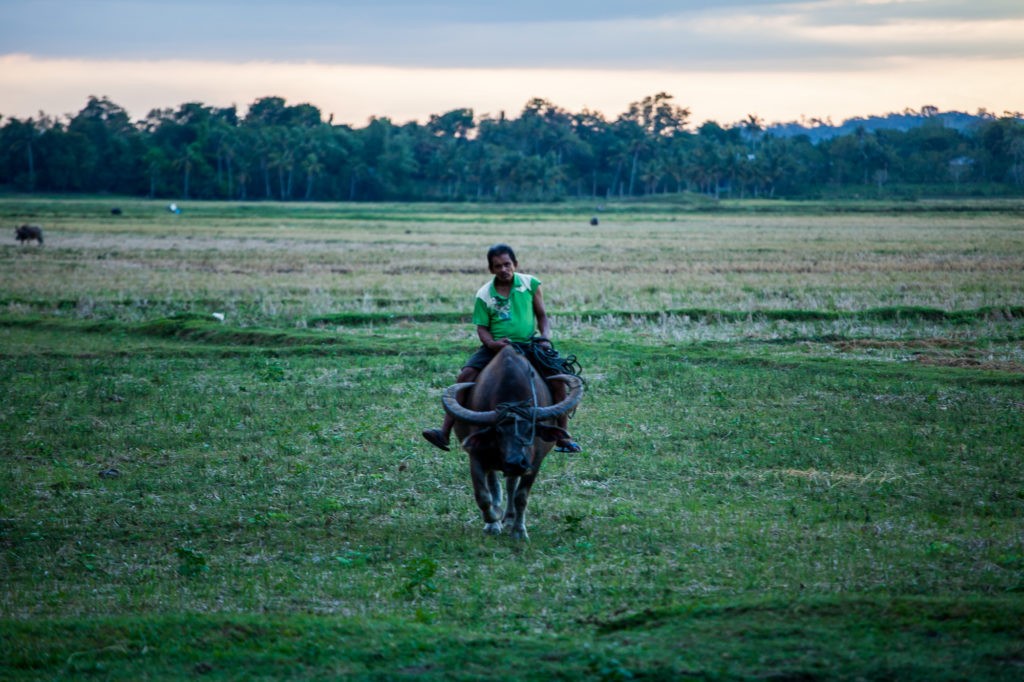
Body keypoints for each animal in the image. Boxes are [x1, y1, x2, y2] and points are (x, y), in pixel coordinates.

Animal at [442, 346, 585, 536]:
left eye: (531, 430)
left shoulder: (534, 462)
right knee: (494, 483)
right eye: (498, 432)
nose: (516, 462)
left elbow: (521, 496)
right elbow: (483, 495)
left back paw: (510, 517)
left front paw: (518, 530)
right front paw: (493, 519)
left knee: (511, 485)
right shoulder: (476, 455)